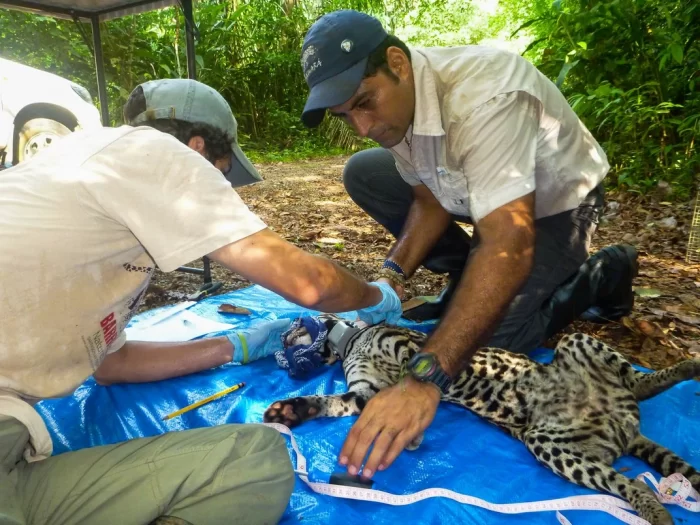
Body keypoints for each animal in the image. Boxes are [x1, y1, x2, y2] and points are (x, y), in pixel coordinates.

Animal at [266, 318, 700, 520]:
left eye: (291, 328)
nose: (279, 343)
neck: (350, 341)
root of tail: (624, 425)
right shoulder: (363, 393)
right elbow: (329, 402)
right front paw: (291, 409)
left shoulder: (410, 349)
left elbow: (414, 375)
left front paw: (411, 429)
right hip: (553, 445)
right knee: (632, 483)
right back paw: (657, 511)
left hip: (575, 340)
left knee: (637, 385)